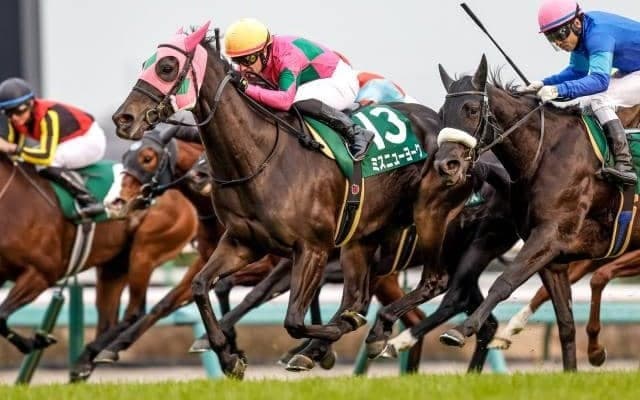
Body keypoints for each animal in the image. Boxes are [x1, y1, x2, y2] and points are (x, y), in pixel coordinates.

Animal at [0, 154, 198, 382]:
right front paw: (36, 341)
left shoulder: (41, 274)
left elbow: (1, 316)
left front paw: (37, 341)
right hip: (114, 267)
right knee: (108, 321)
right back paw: (86, 362)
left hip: (145, 251)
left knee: (136, 312)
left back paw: (97, 353)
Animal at [112, 24, 441, 378]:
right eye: (146, 63)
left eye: (166, 67)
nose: (123, 118)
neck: (259, 158)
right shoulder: (243, 242)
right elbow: (202, 287)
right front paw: (228, 356)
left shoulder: (311, 250)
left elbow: (292, 319)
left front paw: (321, 342)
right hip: (364, 245)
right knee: (366, 299)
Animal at [433, 54, 640, 371]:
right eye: (443, 112)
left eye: (471, 109)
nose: (446, 165)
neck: (545, 153)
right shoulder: (552, 256)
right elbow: (565, 323)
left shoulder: (549, 236)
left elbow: (504, 283)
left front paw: (462, 329)